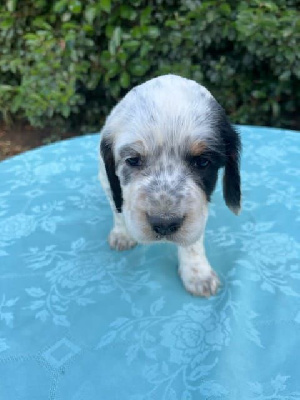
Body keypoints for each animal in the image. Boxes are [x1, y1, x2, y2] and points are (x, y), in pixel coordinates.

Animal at [99, 74, 241, 296]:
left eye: (203, 162)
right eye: (132, 160)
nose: (164, 225)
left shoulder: (197, 211)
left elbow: (193, 239)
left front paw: (197, 274)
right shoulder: (107, 180)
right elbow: (118, 208)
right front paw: (122, 234)